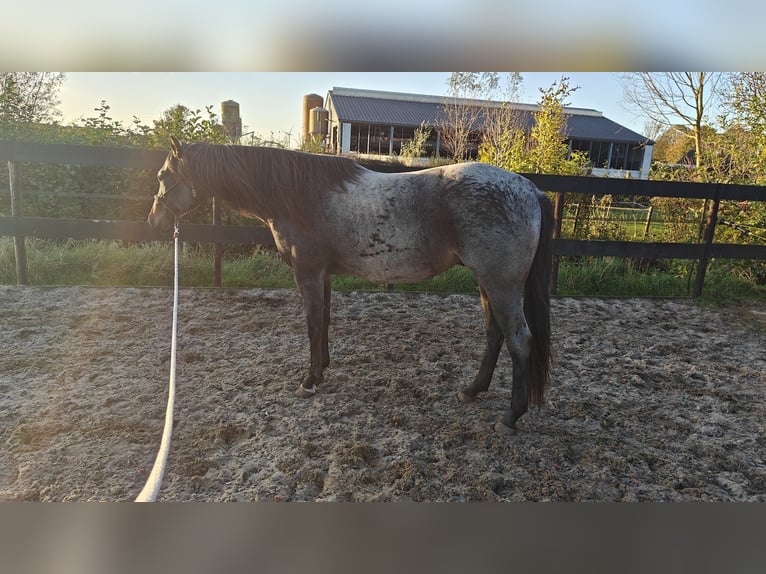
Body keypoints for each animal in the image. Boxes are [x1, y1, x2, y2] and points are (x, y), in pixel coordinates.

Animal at [147, 137, 556, 434]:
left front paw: (310, 380)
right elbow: (324, 323)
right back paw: (472, 390)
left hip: (501, 284)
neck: (299, 196)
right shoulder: (323, 275)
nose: (154, 220)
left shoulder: (308, 273)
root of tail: (530, 190)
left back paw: (510, 417)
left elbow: (313, 326)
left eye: (163, 178)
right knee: (494, 334)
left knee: (519, 340)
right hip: (487, 283)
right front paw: (323, 368)